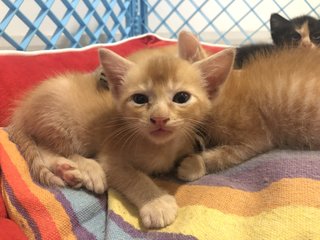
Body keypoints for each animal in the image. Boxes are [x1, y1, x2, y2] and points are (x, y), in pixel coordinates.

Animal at [96, 36, 234, 228]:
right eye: (139, 99)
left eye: (182, 97)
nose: (159, 118)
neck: (162, 148)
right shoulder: (110, 159)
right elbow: (133, 176)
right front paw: (157, 203)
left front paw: (192, 165)